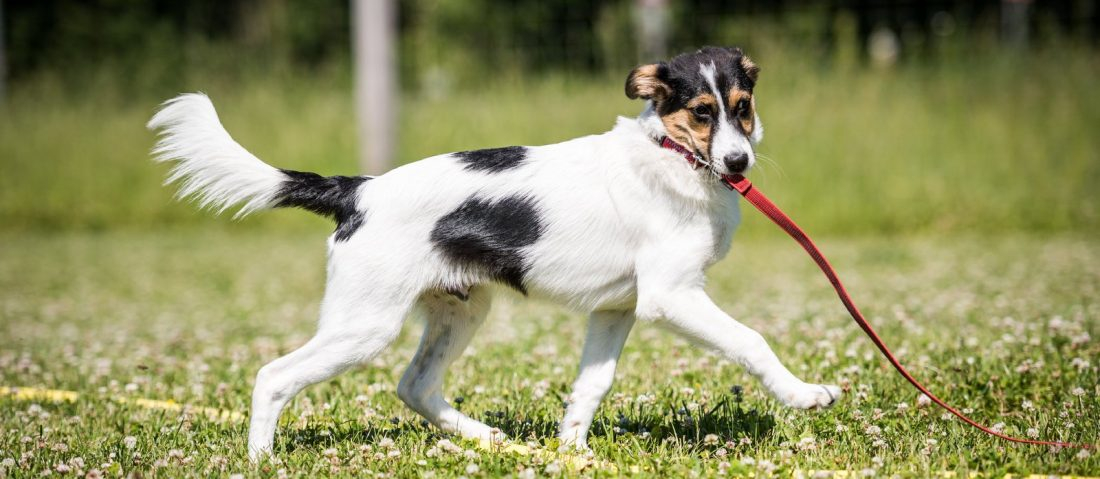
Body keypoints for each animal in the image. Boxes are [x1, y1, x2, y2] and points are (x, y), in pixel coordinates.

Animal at [148, 45, 840, 460]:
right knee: (274, 376)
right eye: (700, 112)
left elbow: (591, 386)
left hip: (461, 310)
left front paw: (572, 455)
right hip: (364, 324)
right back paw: (262, 459)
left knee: (415, 385)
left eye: (742, 109)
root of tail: (358, 190)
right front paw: (804, 394)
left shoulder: (617, 309)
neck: (671, 158)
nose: (738, 162)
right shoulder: (671, 298)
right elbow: (752, 342)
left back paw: (490, 440)